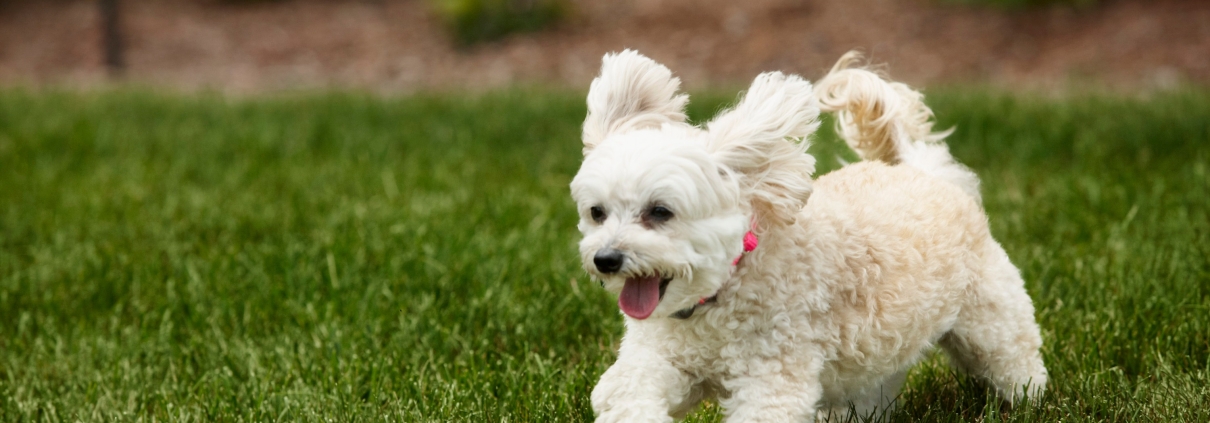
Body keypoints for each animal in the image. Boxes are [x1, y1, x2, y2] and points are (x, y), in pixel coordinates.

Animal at [568, 51, 1050, 420]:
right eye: (597, 212)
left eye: (660, 212)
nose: (606, 259)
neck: (718, 298)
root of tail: (927, 171)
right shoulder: (660, 360)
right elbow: (626, 392)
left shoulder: (772, 377)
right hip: (876, 357)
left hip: (991, 323)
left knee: (1017, 364)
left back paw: (1030, 400)